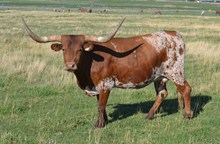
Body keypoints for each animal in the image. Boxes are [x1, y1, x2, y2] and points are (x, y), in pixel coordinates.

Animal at [21, 17, 192, 127]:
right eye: (63, 49)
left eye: (80, 49)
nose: (70, 65)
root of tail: (173, 34)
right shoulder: (96, 87)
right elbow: (100, 105)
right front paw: (105, 121)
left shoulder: (105, 85)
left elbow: (101, 105)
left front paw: (99, 124)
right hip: (159, 76)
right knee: (162, 93)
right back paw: (149, 115)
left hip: (176, 72)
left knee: (186, 90)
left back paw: (187, 115)